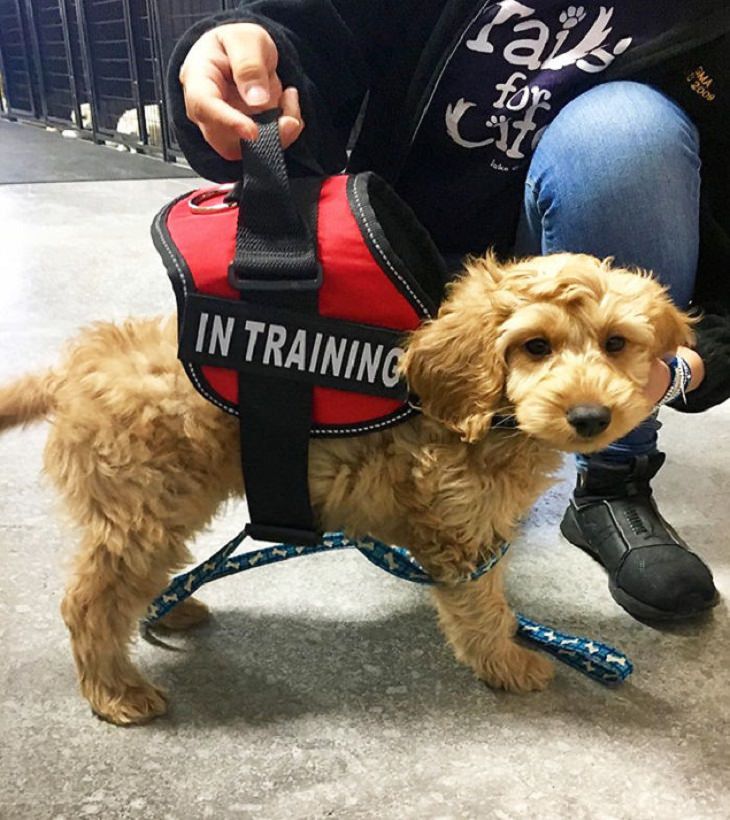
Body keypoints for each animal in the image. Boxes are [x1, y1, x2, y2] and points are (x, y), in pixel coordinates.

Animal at [0, 251, 688, 724]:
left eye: (616, 343)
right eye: (535, 346)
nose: (591, 418)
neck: (490, 419)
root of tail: (74, 371)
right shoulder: (460, 537)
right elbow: (483, 609)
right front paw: (508, 662)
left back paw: (172, 606)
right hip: (143, 511)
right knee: (88, 602)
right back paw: (116, 691)